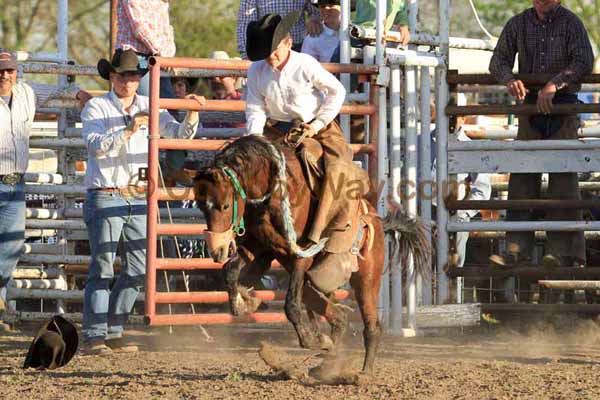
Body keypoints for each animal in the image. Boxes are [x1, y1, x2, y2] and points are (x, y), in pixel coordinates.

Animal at [192, 134, 426, 376]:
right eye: (200, 205)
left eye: (225, 205)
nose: (218, 250)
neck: (274, 189)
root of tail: (378, 221)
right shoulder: (260, 247)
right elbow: (230, 271)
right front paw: (243, 303)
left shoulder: (301, 256)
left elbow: (291, 305)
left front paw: (310, 340)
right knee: (337, 314)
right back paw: (328, 358)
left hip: (367, 278)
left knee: (371, 326)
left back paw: (363, 373)